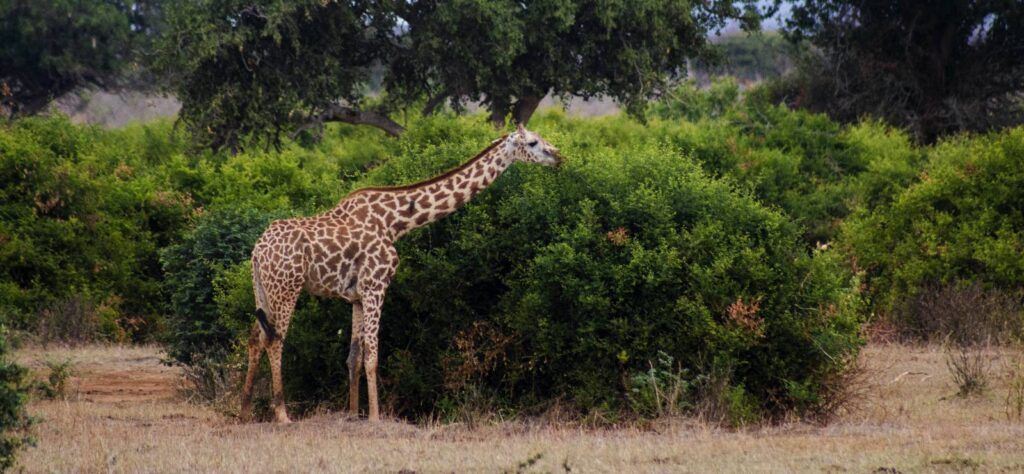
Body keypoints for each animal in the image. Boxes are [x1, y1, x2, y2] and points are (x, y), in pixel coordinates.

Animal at [240, 124, 561, 423]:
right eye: (533, 142)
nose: (557, 155)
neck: (396, 223)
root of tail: (257, 250)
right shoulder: (376, 286)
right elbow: (372, 354)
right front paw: (375, 417)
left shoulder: (356, 296)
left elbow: (354, 356)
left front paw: (353, 414)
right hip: (286, 288)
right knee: (274, 340)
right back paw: (282, 414)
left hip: (263, 290)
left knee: (255, 338)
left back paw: (244, 410)